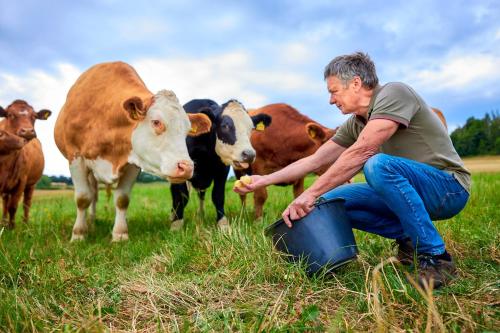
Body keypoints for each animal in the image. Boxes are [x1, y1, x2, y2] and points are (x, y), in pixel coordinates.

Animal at [54, 61, 211, 240]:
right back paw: (91, 222)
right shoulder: (75, 157)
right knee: (92, 194)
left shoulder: (133, 163)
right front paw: (78, 235)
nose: (186, 167)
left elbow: (122, 199)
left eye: (187, 130)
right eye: (156, 122)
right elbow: (82, 198)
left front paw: (120, 234)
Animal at [170, 97, 272, 230]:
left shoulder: (222, 170)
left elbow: (218, 195)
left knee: (201, 195)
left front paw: (223, 224)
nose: (249, 154)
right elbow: (182, 196)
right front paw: (176, 224)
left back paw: (201, 215)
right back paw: (173, 216)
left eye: (251, 128)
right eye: (225, 126)